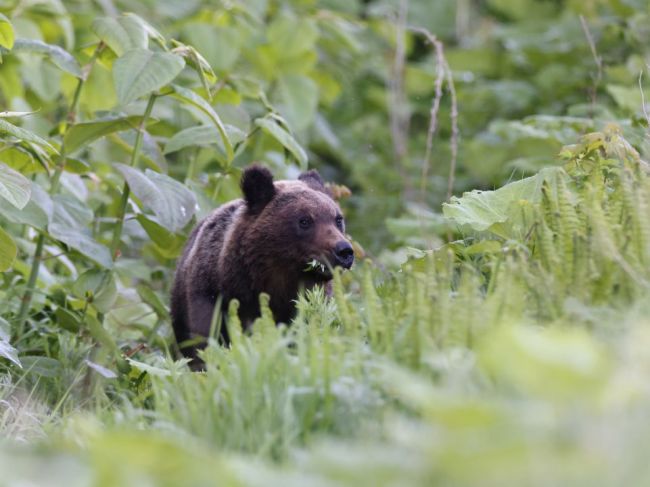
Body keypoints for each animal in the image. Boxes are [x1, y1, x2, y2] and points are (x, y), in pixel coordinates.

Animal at [171, 166, 354, 360]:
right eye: (305, 220)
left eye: (338, 219)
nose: (344, 251)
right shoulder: (213, 296)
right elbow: (205, 338)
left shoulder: (310, 301)